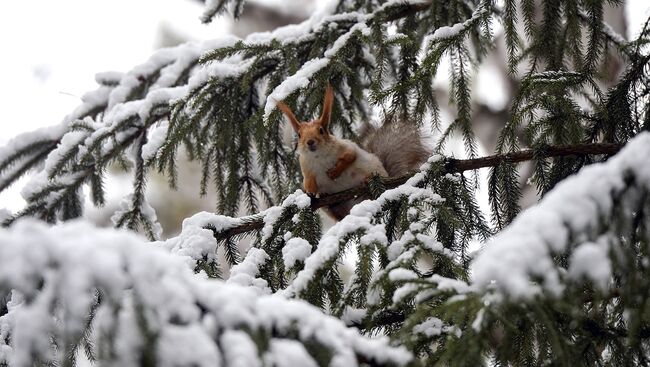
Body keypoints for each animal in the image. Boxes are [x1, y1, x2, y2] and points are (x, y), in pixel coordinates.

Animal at [274, 85, 430, 220]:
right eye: (299, 134)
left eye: (321, 130)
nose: (310, 142)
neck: (319, 157)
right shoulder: (306, 168)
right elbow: (308, 181)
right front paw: (310, 192)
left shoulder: (347, 147)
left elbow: (349, 157)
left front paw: (334, 172)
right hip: (337, 209)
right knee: (338, 214)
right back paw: (329, 201)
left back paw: (366, 180)